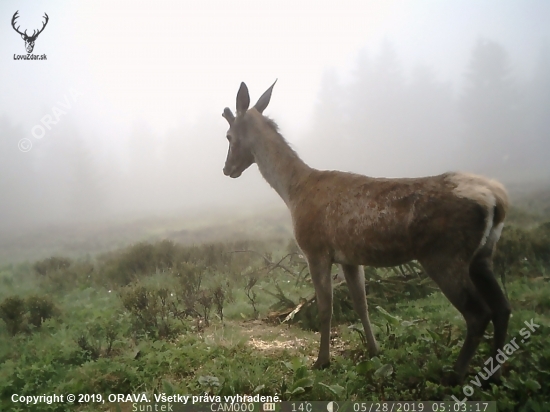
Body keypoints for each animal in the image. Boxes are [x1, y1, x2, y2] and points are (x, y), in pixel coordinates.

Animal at [221, 81, 512, 386]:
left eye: (228, 135)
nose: (227, 169)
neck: (293, 192)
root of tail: (496, 198)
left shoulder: (315, 249)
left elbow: (325, 307)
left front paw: (322, 361)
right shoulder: (350, 257)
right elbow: (361, 303)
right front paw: (374, 351)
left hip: (444, 254)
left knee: (479, 313)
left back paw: (455, 375)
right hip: (482, 254)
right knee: (503, 307)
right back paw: (495, 373)